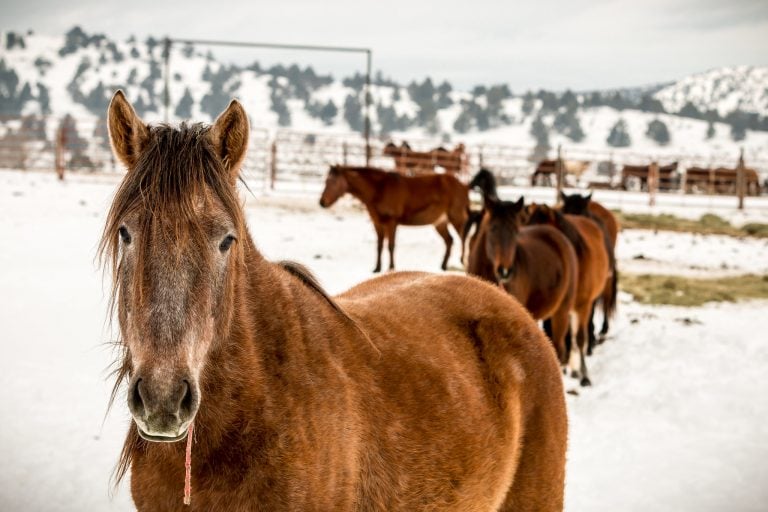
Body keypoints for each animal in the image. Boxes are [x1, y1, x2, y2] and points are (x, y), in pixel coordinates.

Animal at [319, 165, 470, 272]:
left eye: (333, 182)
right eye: (326, 181)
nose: (322, 202)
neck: (378, 190)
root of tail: (464, 186)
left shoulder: (392, 222)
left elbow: (391, 246)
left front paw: (391, 267)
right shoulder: (377, 222)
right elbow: (379, 246)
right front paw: (377, 268)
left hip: (455, 216)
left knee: (463, 237)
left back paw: (462, 261)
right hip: (440, 222)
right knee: (449, 240)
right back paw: (443, 266)